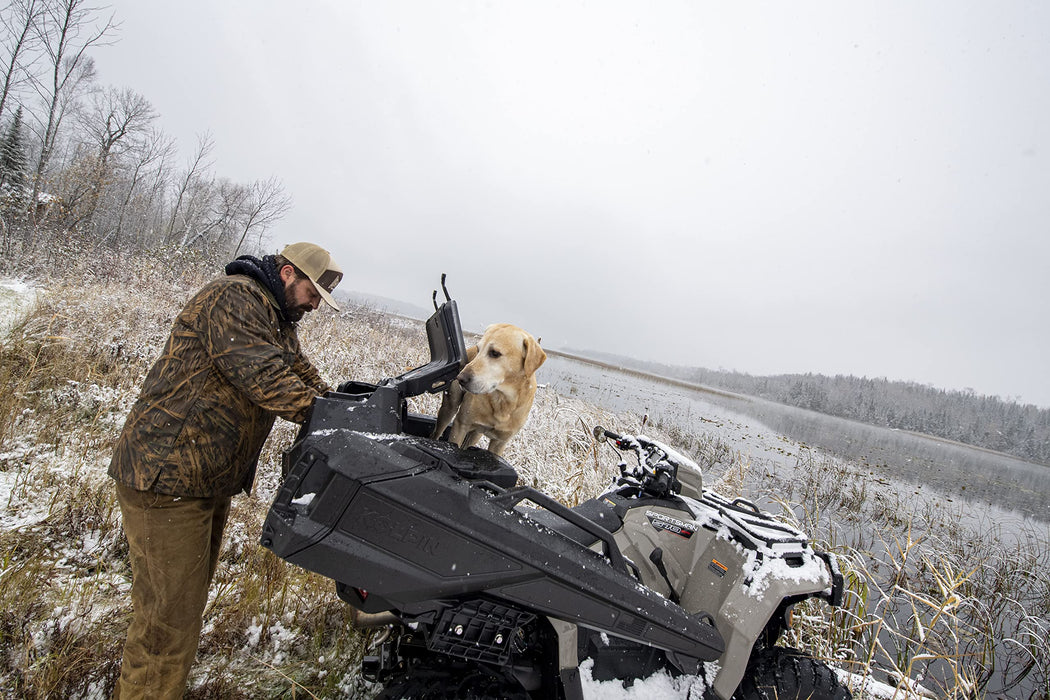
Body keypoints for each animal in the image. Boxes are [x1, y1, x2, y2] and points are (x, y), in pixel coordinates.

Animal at [432, 323, 550, 455]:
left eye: (495, 353)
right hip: (449, 409)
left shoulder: (500, 442)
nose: (460, 378)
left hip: (476, 433)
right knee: (437, 431)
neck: (503, 402)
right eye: (478, 350)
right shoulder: (461, 425)